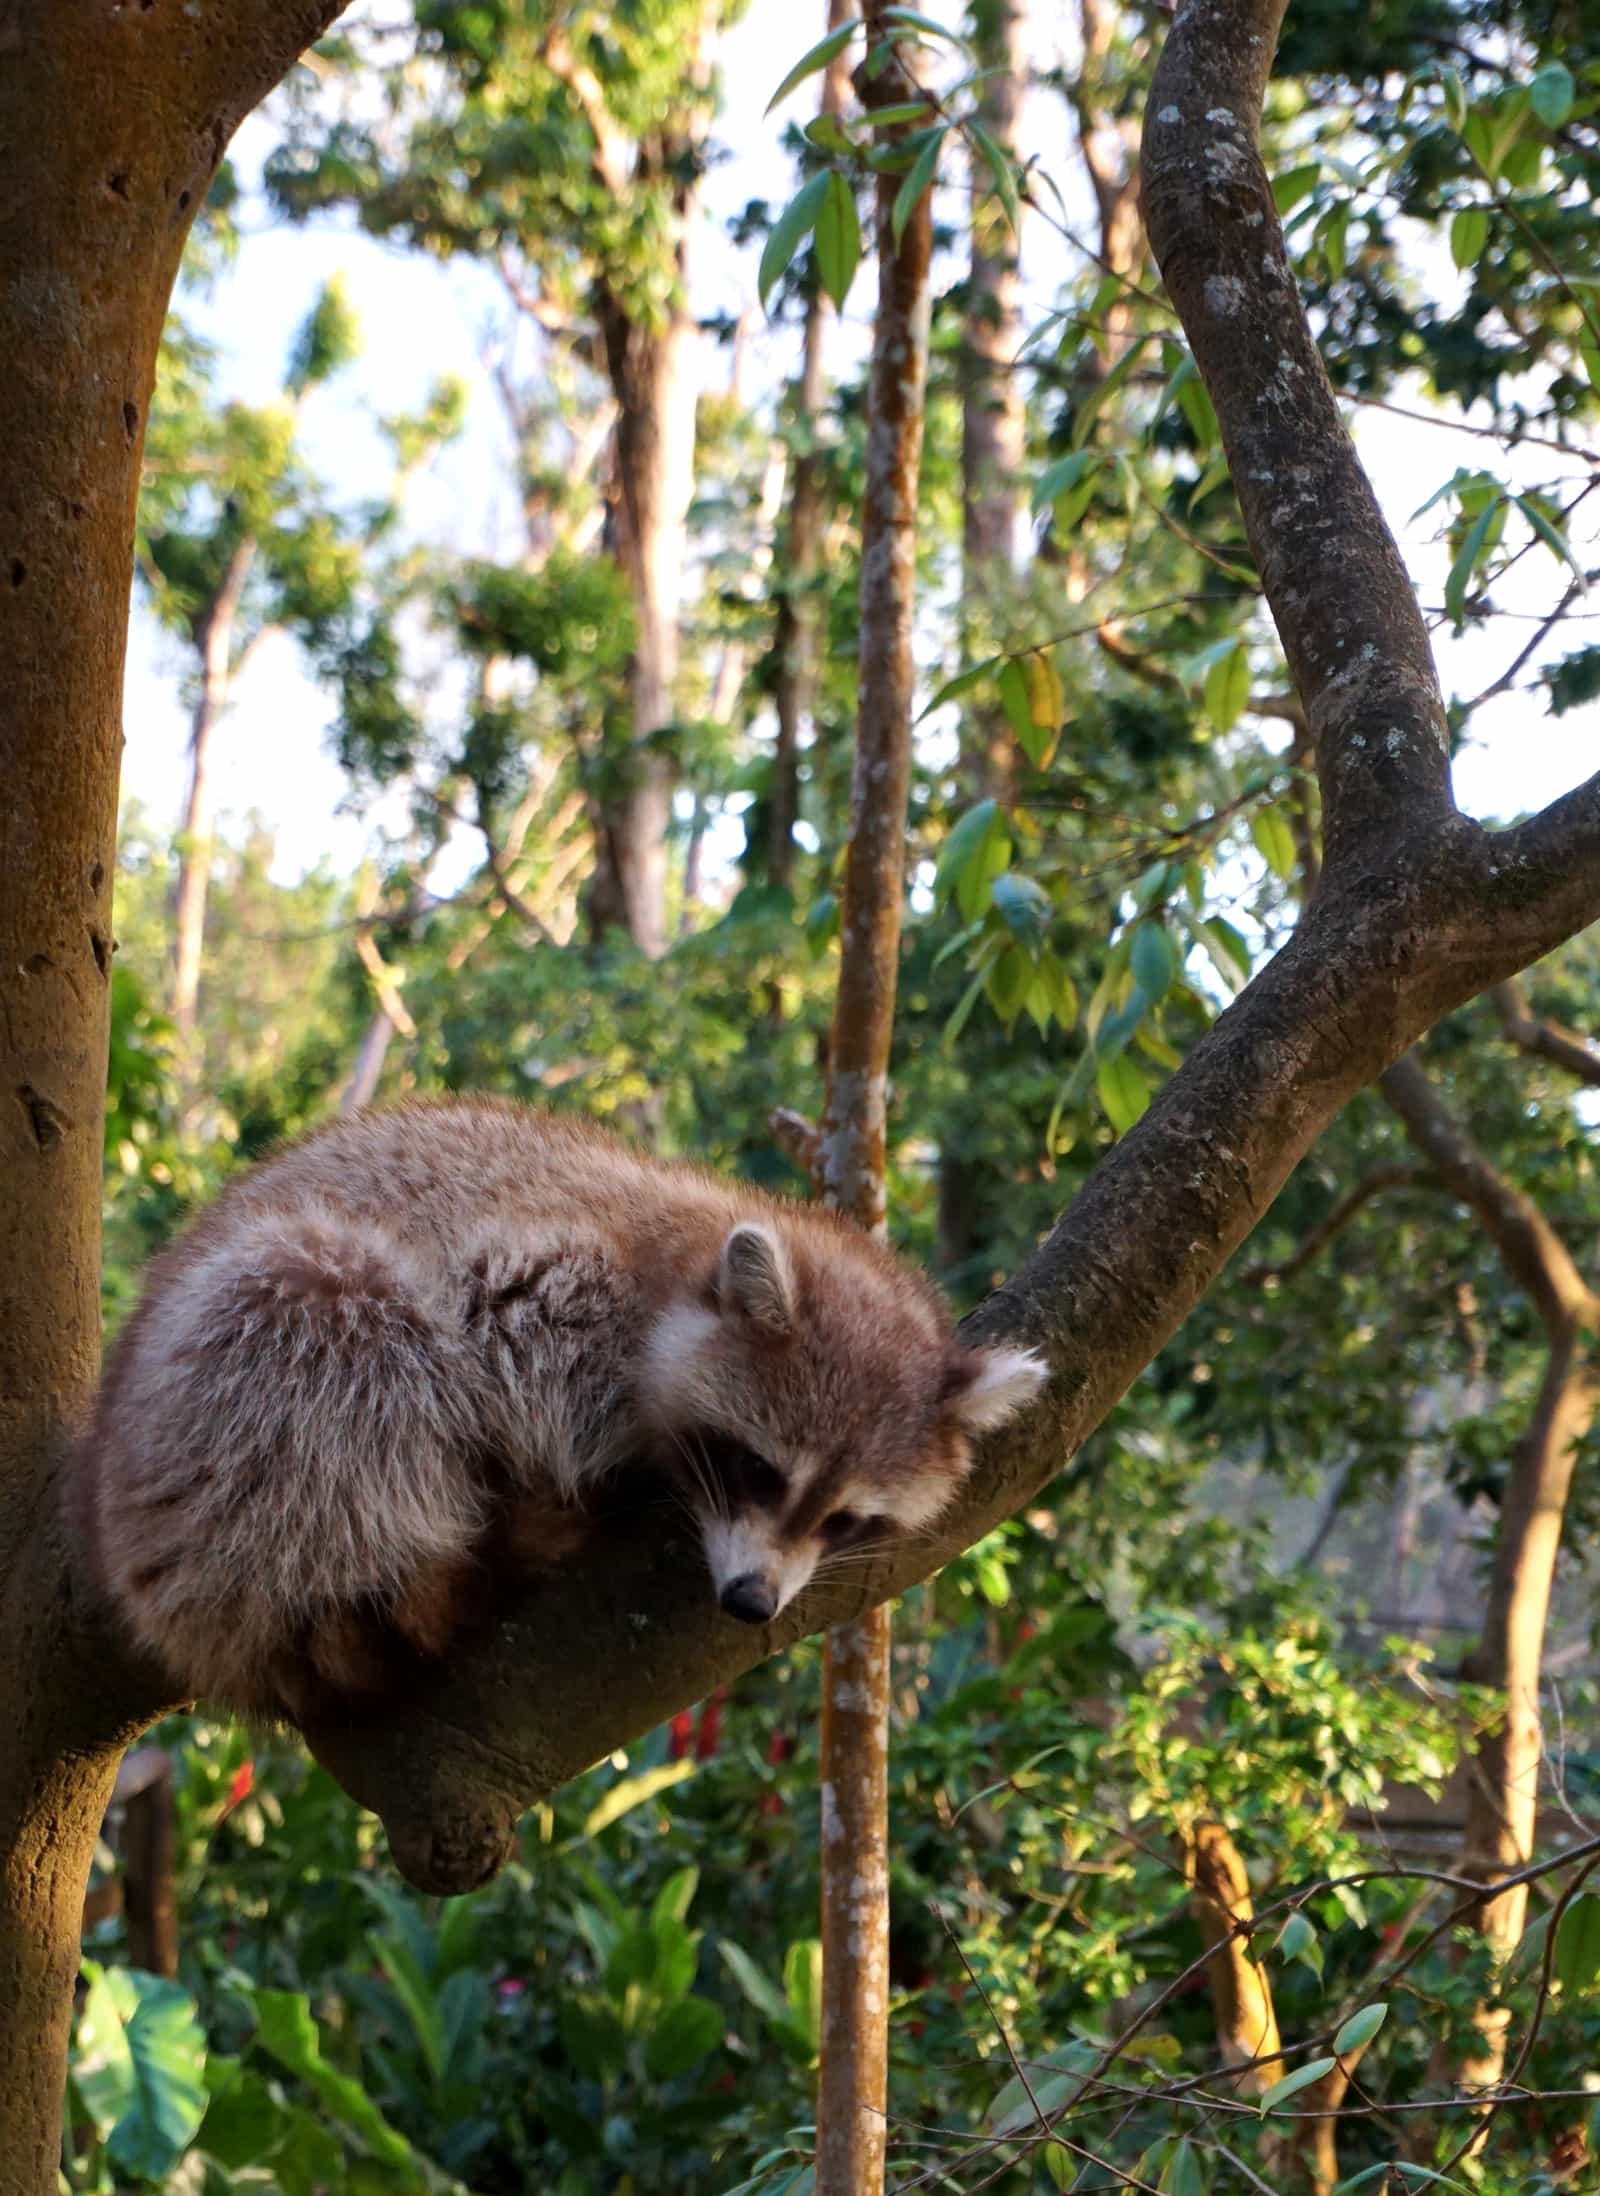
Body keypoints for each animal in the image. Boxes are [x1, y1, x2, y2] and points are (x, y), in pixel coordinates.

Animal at [71, 1106, 1049, 1721]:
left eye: (846, 1518)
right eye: (760, 1470)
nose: (751, 1601)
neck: (688, 1254)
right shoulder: (553, 1277)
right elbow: (491, 1344)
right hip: (237, 1382)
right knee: (343, 1324)